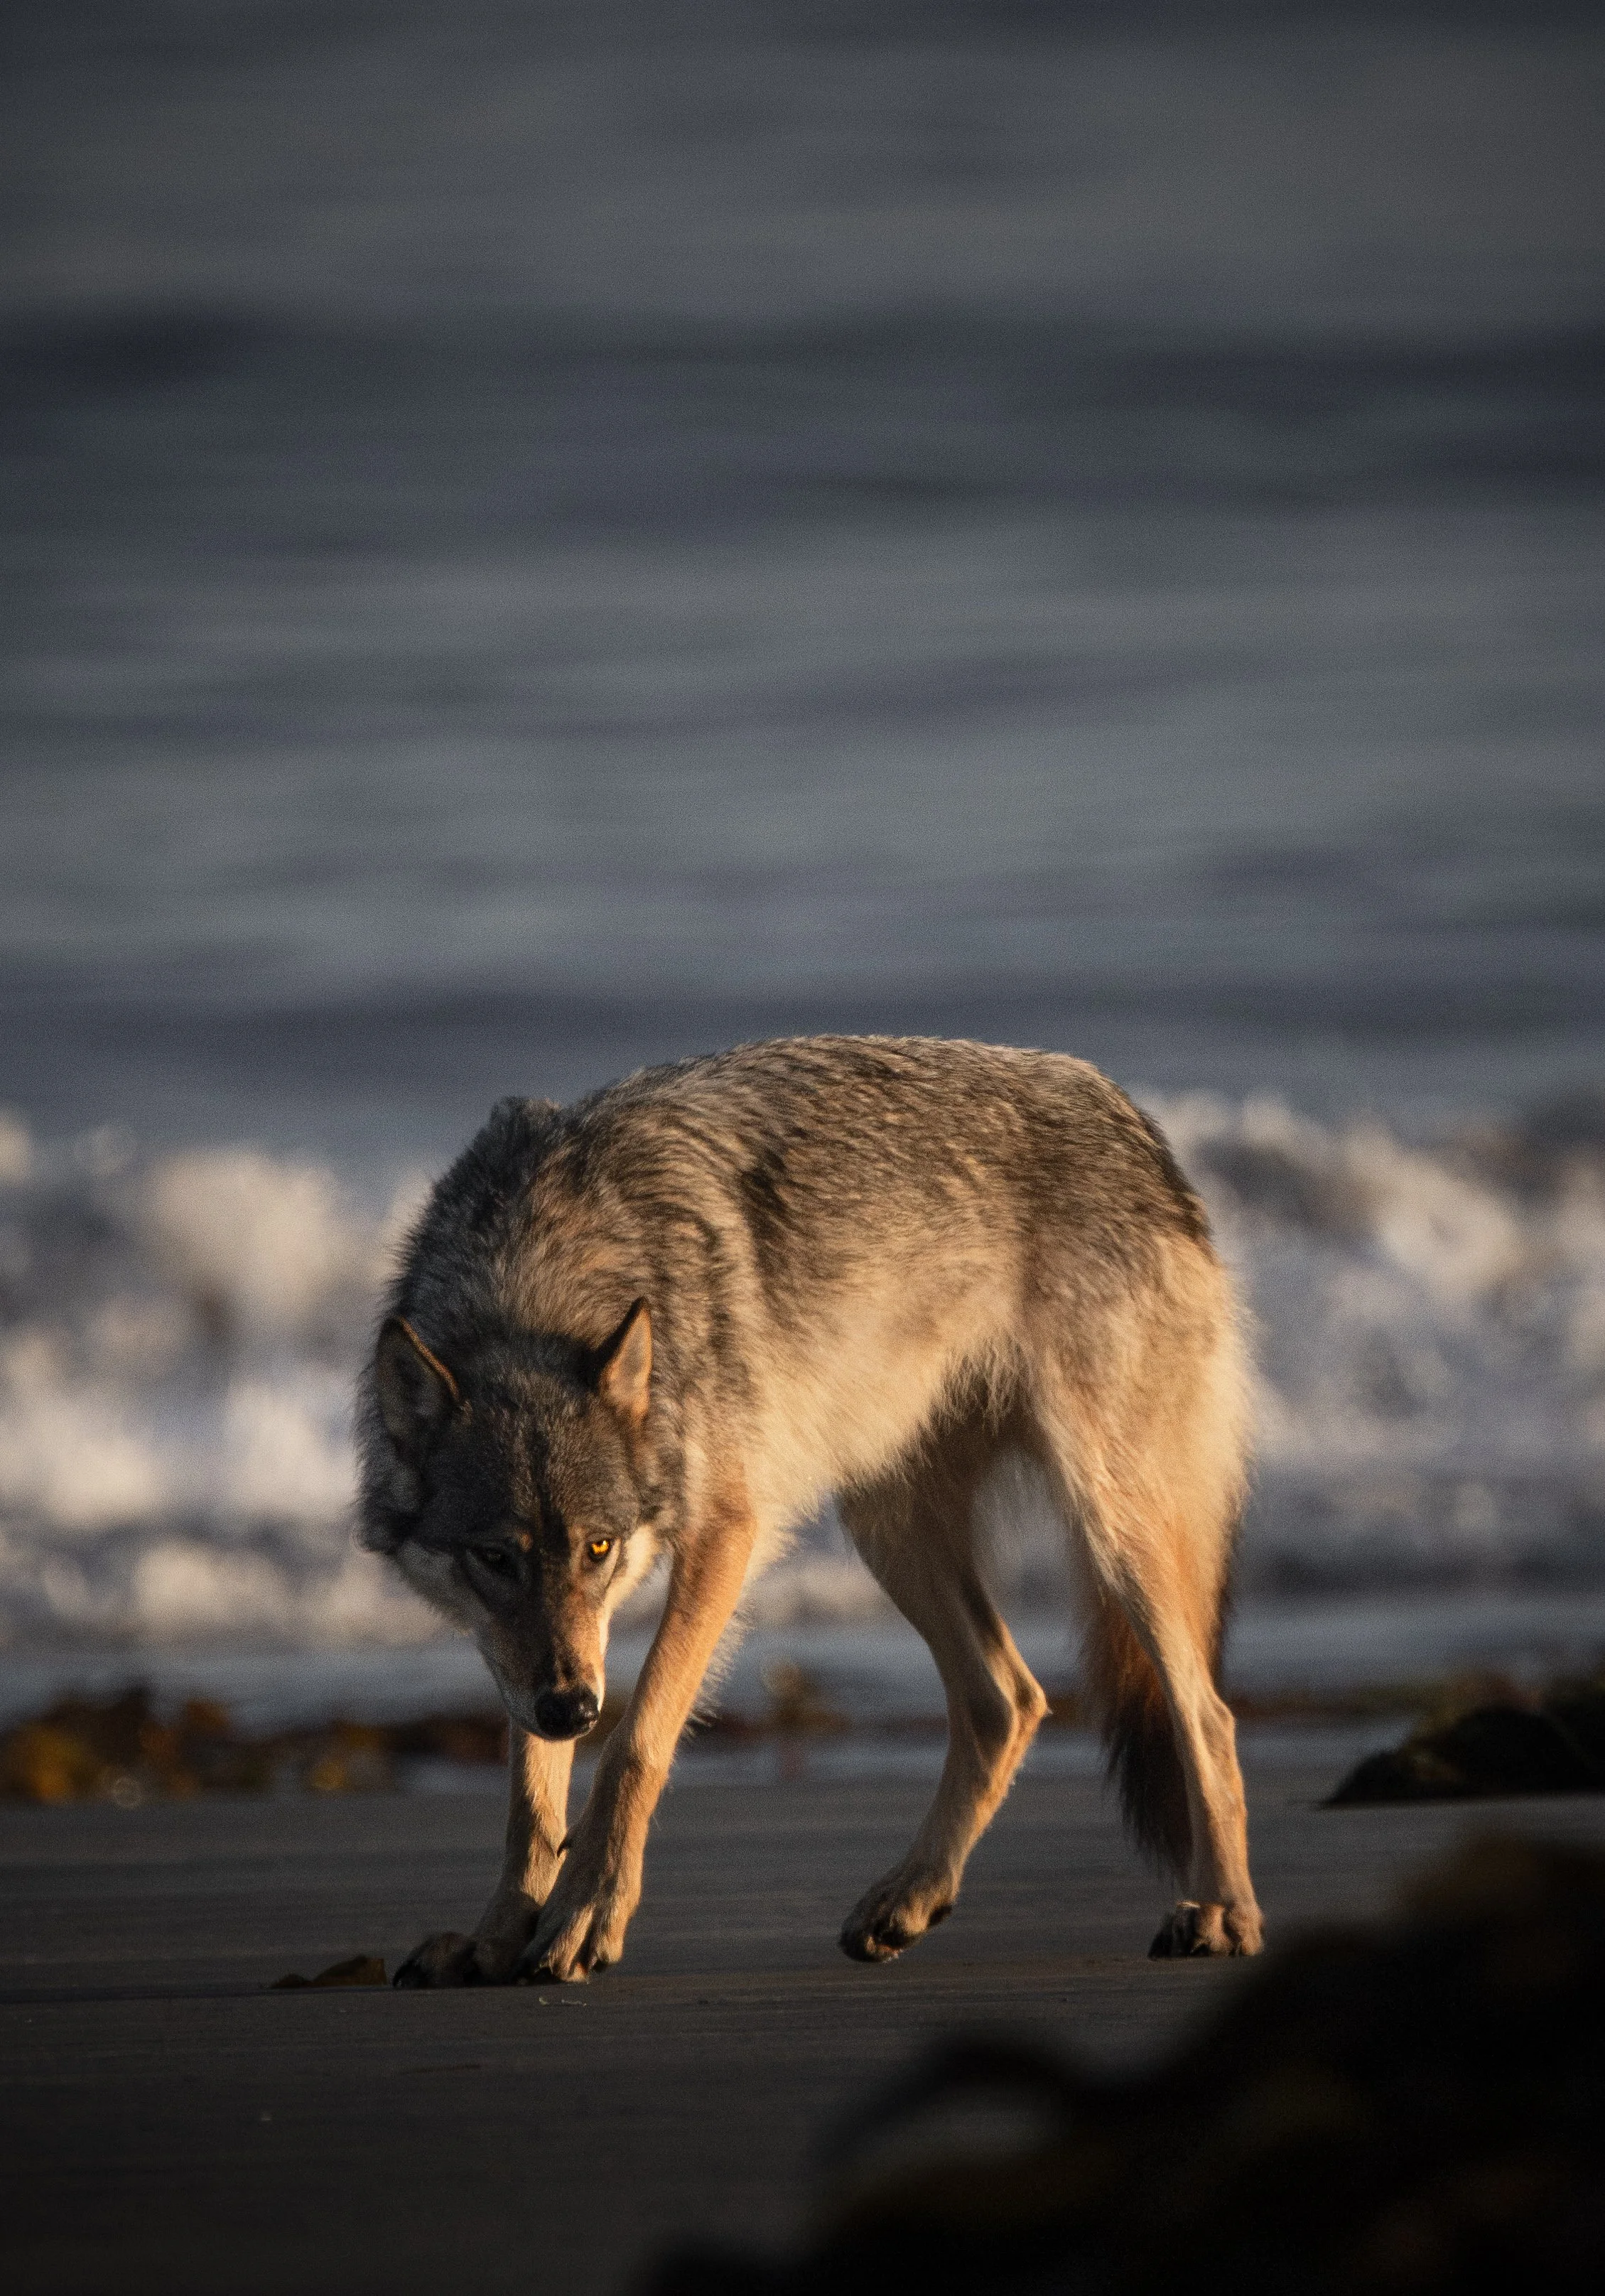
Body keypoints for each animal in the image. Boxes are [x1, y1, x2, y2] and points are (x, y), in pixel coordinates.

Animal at [359, 1035, 1262, 1985]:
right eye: (495, 1559)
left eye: (599, 1548)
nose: (573, 1710)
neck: (537, 1277)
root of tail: (1129, 1116)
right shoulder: (535, 1657)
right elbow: (532, 1795)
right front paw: (499, 1935)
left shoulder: (724, 1534)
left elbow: (634, 1743)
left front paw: (585, 1912)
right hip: (890, 1532)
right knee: (1007, 1700)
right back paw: (909, 1897)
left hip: (1112, 1527)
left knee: (1206, 1715)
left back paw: (1221, 1913)